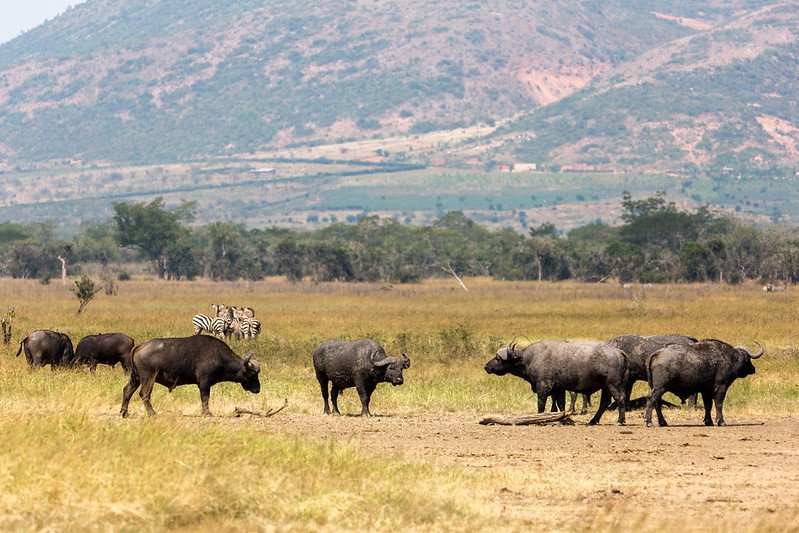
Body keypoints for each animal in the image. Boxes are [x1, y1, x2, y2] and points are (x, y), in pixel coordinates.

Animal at [120, 335, 261, 417]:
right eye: (252, 374)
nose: (258, 389)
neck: (220, 356)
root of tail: (140, 346)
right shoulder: (204, 383)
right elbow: (205, 398)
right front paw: (207, 413)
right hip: (148, 378)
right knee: (144, 394)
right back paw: (152, 413)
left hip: (136, 378)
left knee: (127, 391)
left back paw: (124, 412)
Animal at [484, 341, 627, 425]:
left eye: (498, 358)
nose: (486, 367)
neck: (529, 359)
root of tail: (618, 351)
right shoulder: (559, 389)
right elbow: (561, 405)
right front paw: (561, 419)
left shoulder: (543, 387)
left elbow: (541, 405)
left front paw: (539, 419)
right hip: (606, 387)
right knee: (604, 403)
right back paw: (593, 421)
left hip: (612, 385)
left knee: (620, 398)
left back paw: (620, 421)